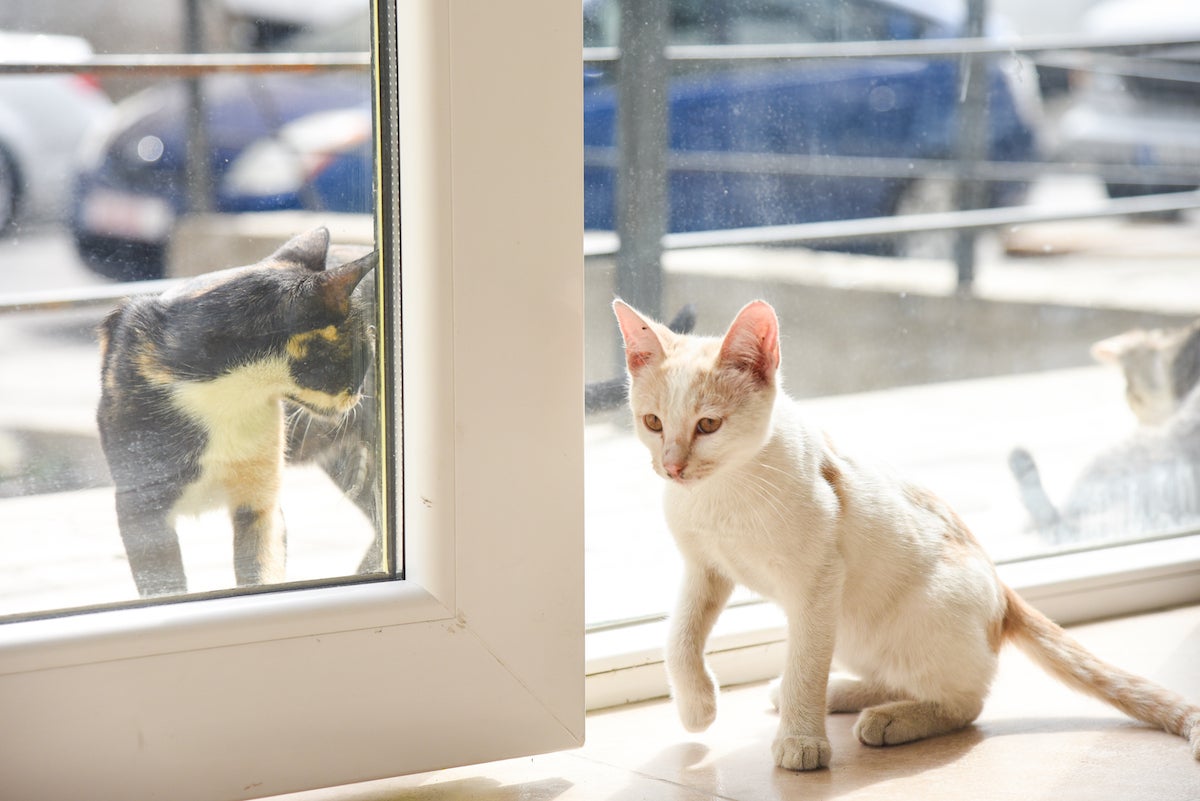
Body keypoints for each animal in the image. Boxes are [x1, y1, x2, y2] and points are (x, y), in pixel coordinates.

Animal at [97, 227, 377, 597]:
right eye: (364, 353)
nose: (359, 394)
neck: (233, 391)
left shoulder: (260, 506)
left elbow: (259, 573)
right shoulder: (141, 510)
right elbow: (164, 586)